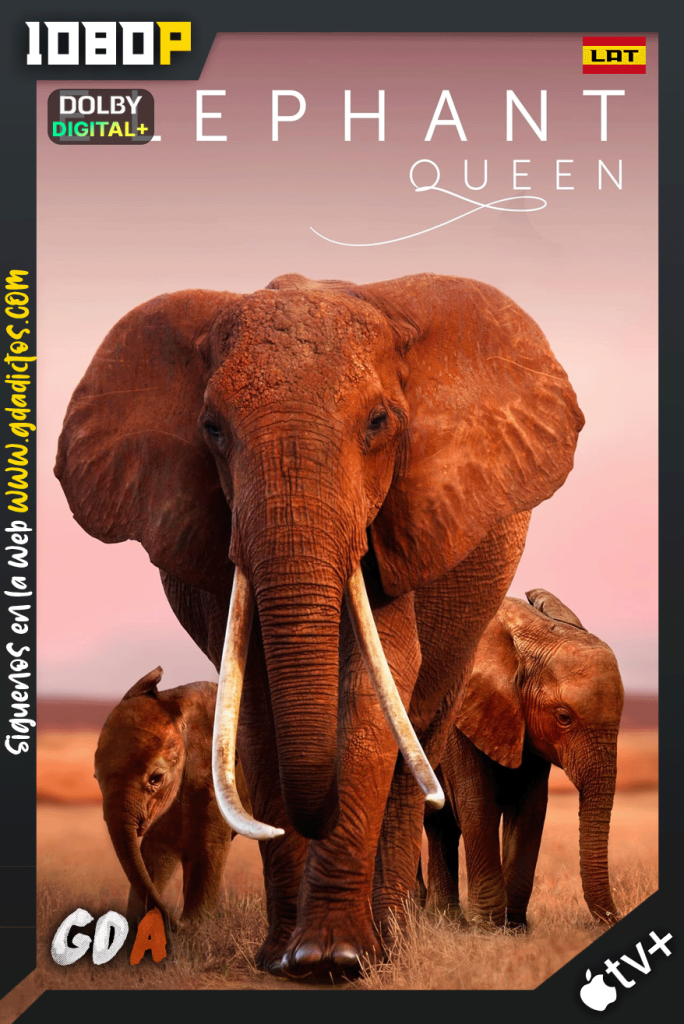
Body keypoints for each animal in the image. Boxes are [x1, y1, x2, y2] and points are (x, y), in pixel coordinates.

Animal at [94, 667, 247, 927]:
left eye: (156, 778)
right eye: (96, 777)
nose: (176, 921)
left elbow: (209, 851)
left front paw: (195, 925)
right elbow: (155, 852)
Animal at [422, 589, 624, 929]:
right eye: (563, 717)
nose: (611, 919)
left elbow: (531, 809)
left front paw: (515, 928)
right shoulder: (459, 712)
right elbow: (477, 803)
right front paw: (487, 928)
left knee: (439, 825)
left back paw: (442, 920)